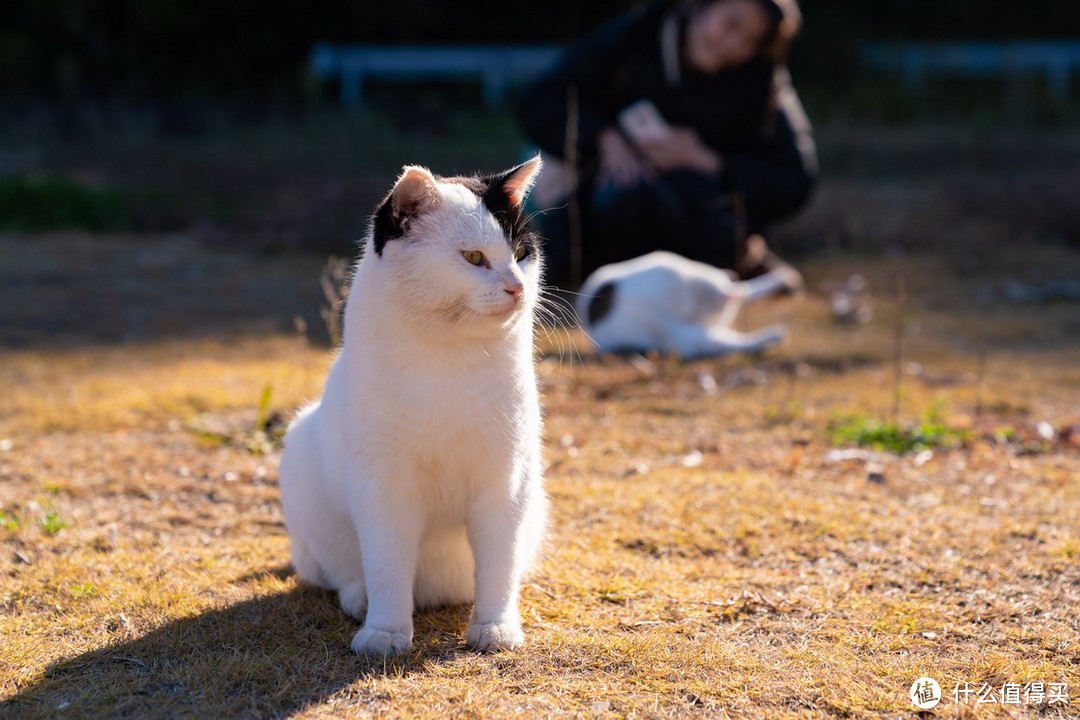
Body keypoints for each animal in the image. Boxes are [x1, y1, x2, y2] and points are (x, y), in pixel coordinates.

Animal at [278, 157, 548, 660]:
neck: (448, 360)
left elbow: (498, 563)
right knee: (342, 572)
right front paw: (384, 632)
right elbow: (386, 562)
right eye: (474, 258)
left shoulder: (505, 477)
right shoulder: (383, 483)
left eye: (521, 253)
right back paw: (361, 599)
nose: (517, 288)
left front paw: (496, 627)